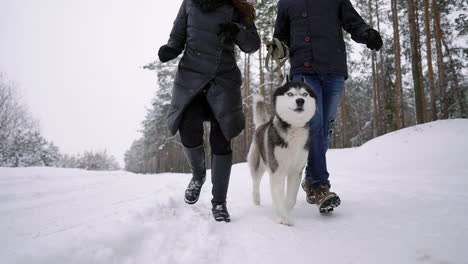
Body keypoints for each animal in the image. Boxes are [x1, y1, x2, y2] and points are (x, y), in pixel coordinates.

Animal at [247, 77, 316, 226]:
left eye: (305, 94)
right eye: (290, 94)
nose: (300, 101)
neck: (294, 128)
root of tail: (261, 125)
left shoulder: (296, 171)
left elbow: (290, 199)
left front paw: (285, 212)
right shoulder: (277, 171)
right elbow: (278, 196)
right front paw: (283, 218)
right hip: (257, 165)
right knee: (255, 183)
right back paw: (256, 201)